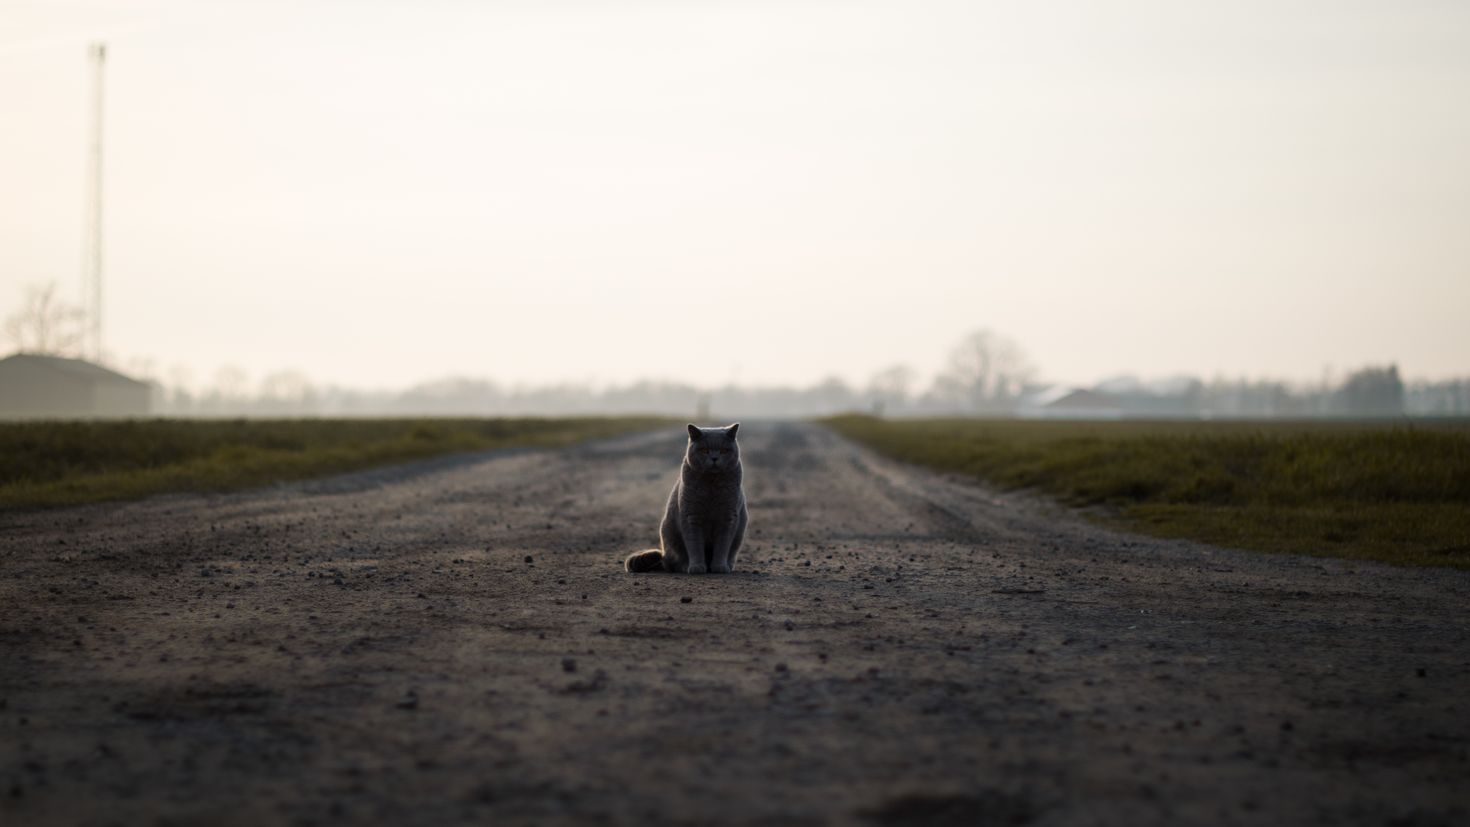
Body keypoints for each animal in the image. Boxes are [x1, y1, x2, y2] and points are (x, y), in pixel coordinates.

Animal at [626, 423, 752, 572]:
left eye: (723, 450)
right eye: (704, 450)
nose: (714, 458)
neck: (711, 487)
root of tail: (663, 556)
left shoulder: (728, 517)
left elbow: (722, 545)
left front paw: (720, 567)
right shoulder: (691, 516)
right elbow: (694, 545)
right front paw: (697, 567)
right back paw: (686, 566)